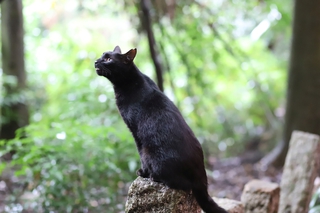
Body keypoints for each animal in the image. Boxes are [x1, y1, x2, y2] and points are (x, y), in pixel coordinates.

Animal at [94, 45, 229, 212]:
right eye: (102, 56)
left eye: (108, 59)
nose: (96, 61)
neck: (129, 82)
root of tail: (202, 179)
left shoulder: (137, 134)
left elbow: (141, 155)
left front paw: (143, 172)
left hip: (154, 154)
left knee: (183, 185)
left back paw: (154, 176)